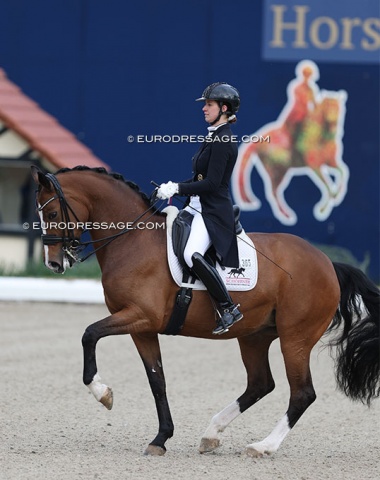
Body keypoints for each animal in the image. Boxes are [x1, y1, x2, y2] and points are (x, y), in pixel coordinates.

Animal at [31, 165, 378, 458]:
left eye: (52, 212)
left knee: (302, 393)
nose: (53, 263)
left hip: (296, 338)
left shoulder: (140, 315)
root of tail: (327, 263)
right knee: (260, 384)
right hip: (254, 336)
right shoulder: (142, 328)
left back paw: (263, 446)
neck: (132, 240)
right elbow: (157, 381)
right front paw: (160, 439)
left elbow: (89, 334)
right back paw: (212, 433)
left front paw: (102, 393)